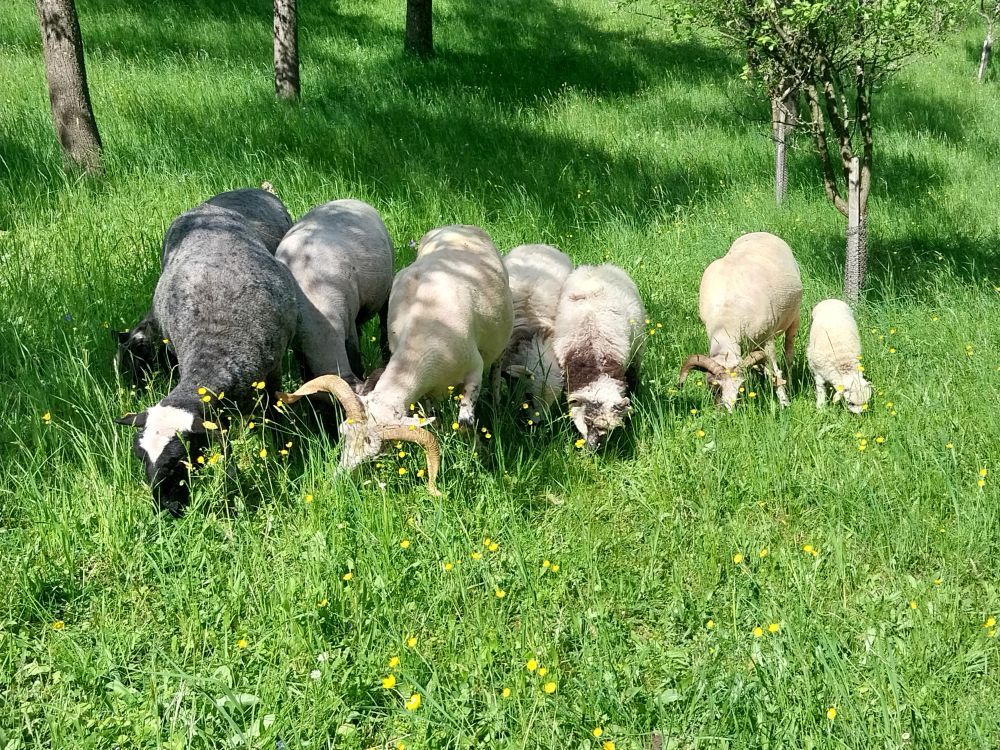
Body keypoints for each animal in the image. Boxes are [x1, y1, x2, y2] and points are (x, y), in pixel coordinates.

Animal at [275, 199, 394, 388]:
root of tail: (349, 199)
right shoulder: (299, 347)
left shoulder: (348, 330)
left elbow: (355, 359)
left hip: (386, 289)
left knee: (384, 324)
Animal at [278, 224, 514, 495]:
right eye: (342, 432)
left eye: (377, 452)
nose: (338, 484)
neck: (422, 341)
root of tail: (459, 226)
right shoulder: (425, 392)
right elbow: (430, 419)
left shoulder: (473, 372)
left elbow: (465, 423)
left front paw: (479, 455)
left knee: (496, 369)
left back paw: (497, 402)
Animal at [678, 232, 802, 410]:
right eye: (714, 386)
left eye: (740, 386)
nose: (728, 412)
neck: (726, 318)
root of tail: (761, 232)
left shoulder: (768, 338)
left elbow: (775, 373)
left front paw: (784, 403)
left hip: (794, 319)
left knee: (788, 355)